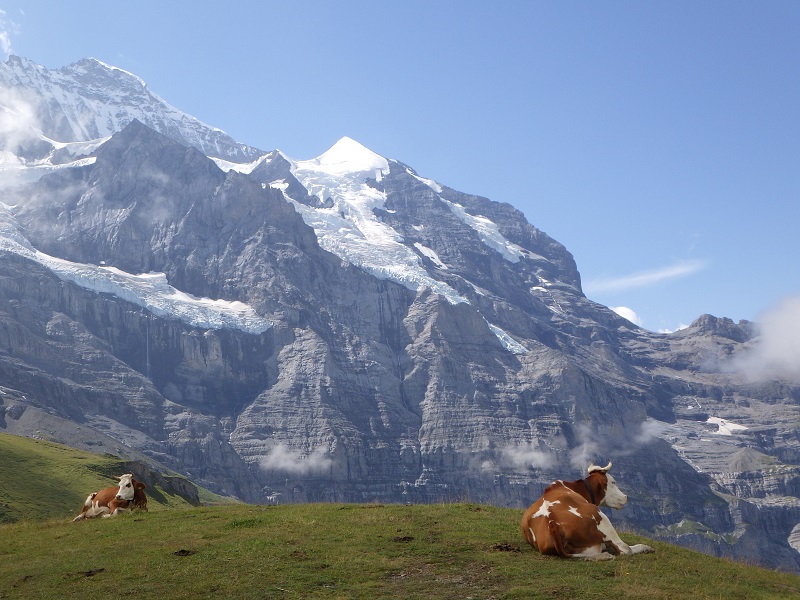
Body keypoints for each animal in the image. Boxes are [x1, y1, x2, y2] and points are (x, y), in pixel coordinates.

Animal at [520, 462, 656, 560]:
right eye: (613, 482)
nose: (625, 497)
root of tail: (552, 522)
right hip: (602, 518)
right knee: (625, 549)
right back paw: (645, 547)